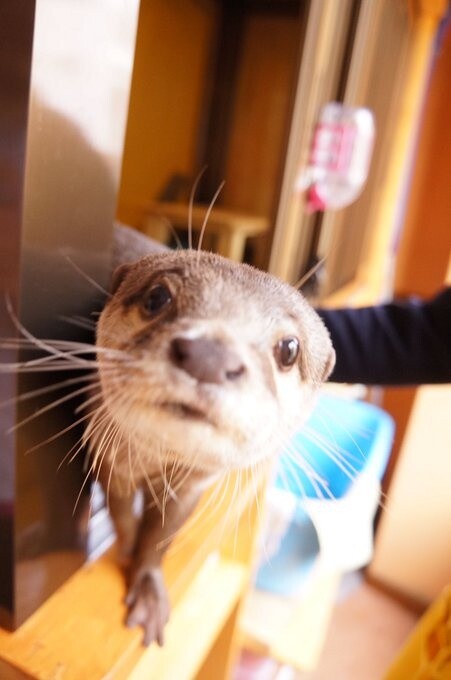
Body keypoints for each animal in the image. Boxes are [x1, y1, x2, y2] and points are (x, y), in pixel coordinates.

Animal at [85, 226, 336, 644]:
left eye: (289, 348)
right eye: (157, 297)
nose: (210, 356)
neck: (157, 464)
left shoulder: (191, 487)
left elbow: (161, 538)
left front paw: (147, 585)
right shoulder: (111, 457)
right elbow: (122, 515)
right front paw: (125, 549)